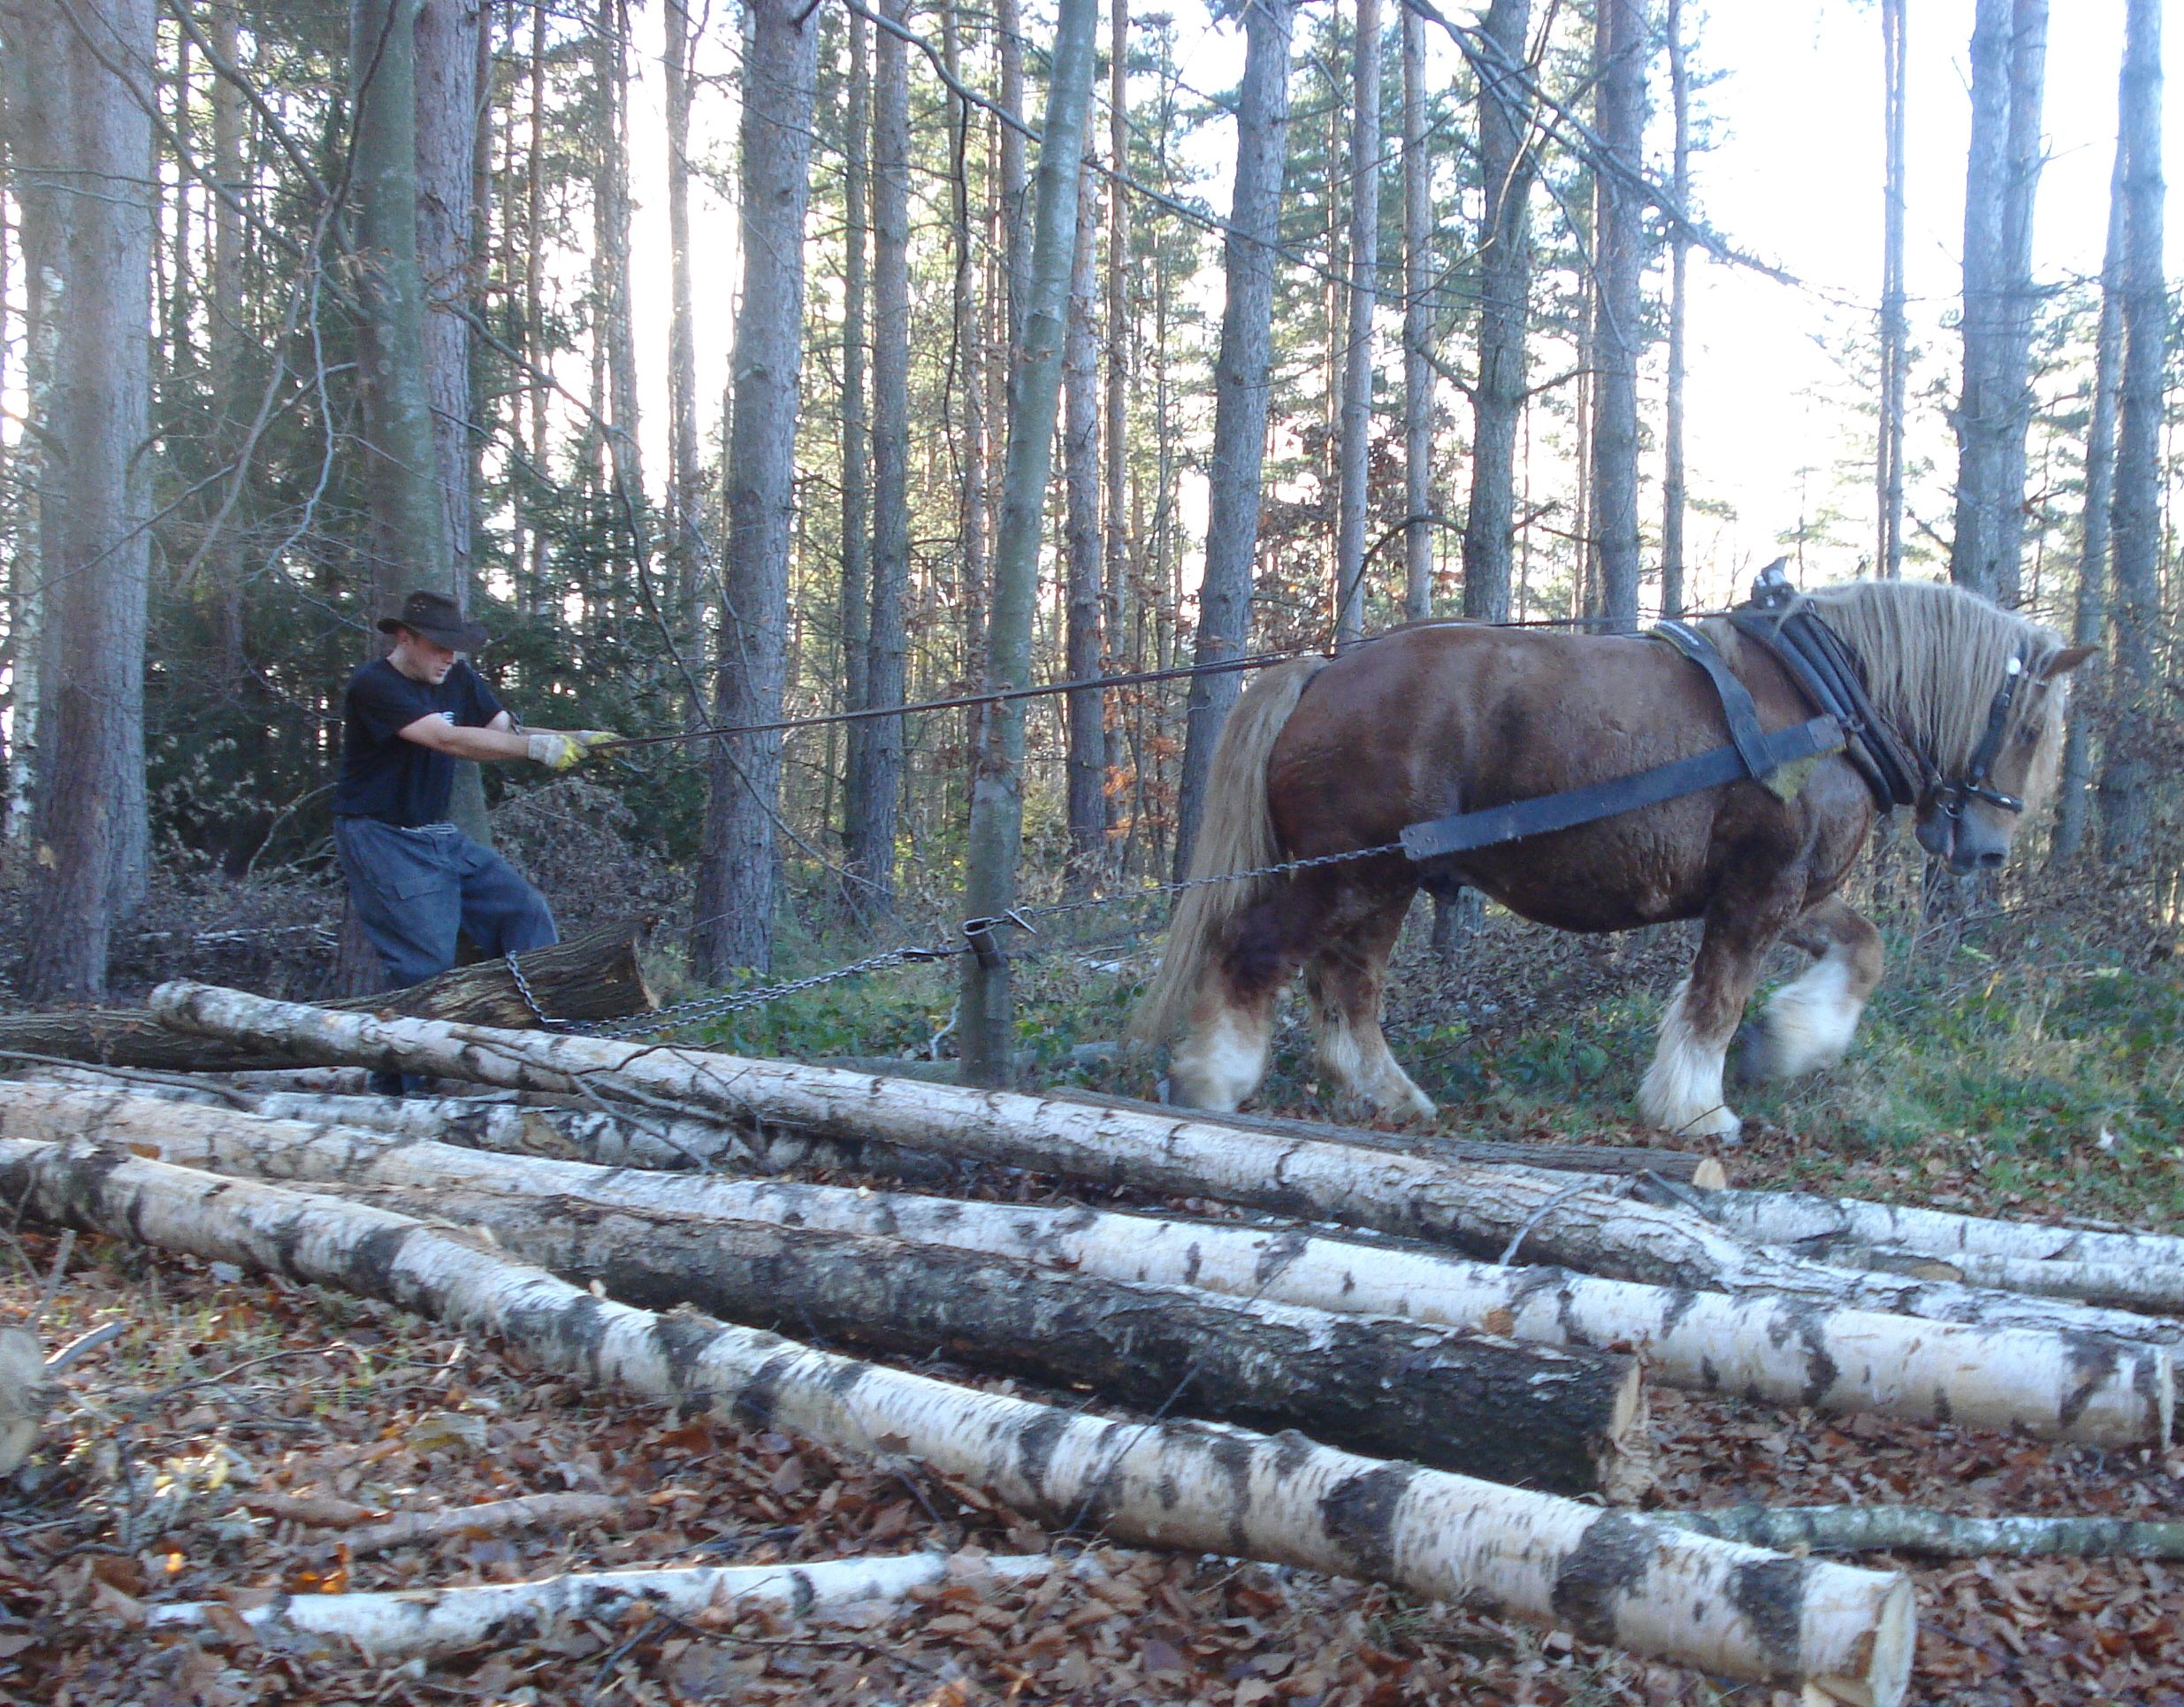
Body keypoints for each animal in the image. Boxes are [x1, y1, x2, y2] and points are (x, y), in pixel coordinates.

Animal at [1135, 581, 2088, 1137]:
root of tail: (1322, 672)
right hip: (1350, 873)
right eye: (2029, 727)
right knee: (1256, 952)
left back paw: (1388, 1095)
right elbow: (1715, 1001)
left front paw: (1784, 1043)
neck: (1822, 700)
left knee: (1347, 987)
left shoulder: (1795, 889)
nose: (1990, 850)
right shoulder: (1759, 890)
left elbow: (1862, 953)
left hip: (1386, 881)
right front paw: (1698, 1108)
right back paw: (1214, 1080)